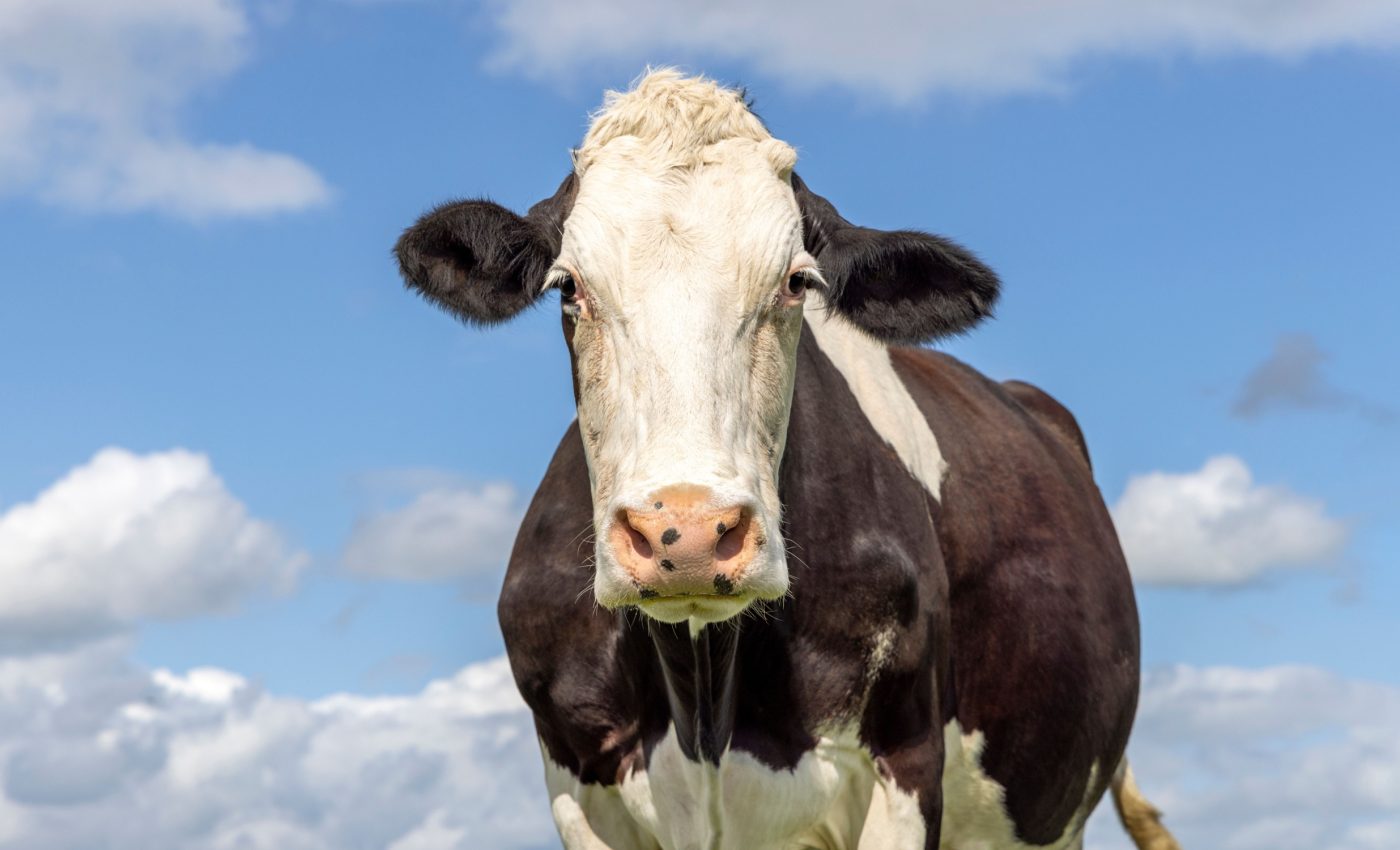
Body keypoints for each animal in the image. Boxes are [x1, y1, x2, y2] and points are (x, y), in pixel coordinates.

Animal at [395, 70, 1181, 850]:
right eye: (567, 286)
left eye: (797, 281)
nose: (686, 535)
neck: (701, 699)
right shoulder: (576, 780)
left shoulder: (903, 758)